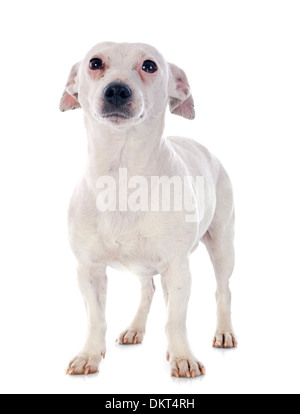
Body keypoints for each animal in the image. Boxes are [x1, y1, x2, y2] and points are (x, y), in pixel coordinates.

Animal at [59, 42, 237, 378]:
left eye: (150, 66)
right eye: (95, 63)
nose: (117, 89)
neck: (122, 175)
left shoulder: (178, 267)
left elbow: (175, 319)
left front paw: (182, 357)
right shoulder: (87, 269)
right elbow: (96, 317)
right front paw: (89, 355)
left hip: (222, 247)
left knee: (222, 291)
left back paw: (223, 332)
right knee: (149, 290)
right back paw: (135, 328)